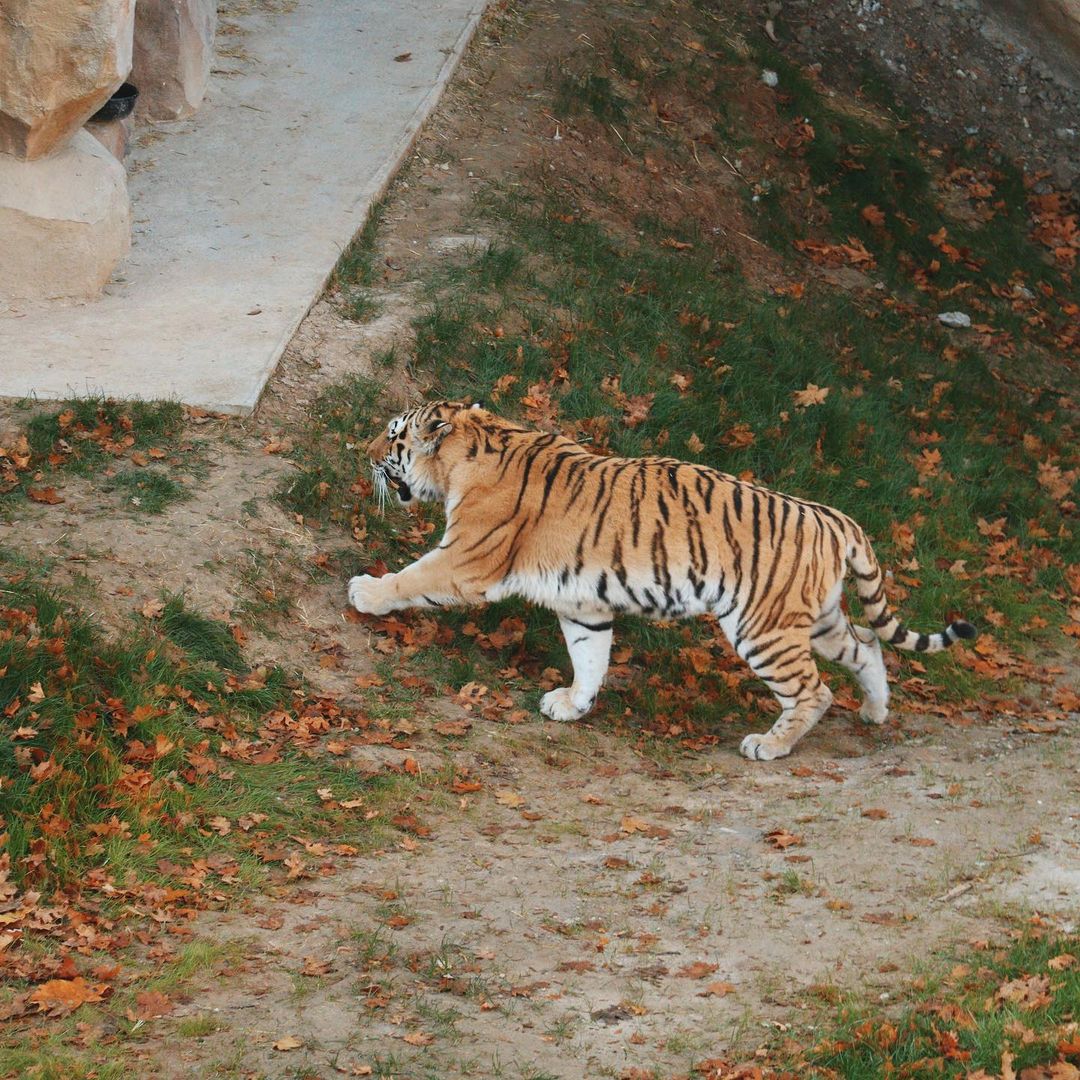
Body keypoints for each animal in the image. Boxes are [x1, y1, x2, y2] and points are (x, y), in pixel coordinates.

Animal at [347, 399, 980, 760]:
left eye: (393, 435)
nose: (363, 450)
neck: (476, 442)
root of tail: (832, 515)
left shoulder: (467, 559)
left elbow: (411, 578)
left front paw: (364, 592)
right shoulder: (582, 603)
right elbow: (590, 656)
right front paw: (573, 705)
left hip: (764, 627)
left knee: (814, 690)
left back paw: (769, 746)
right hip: (816, 618)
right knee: (867, 643)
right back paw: (875, 711)